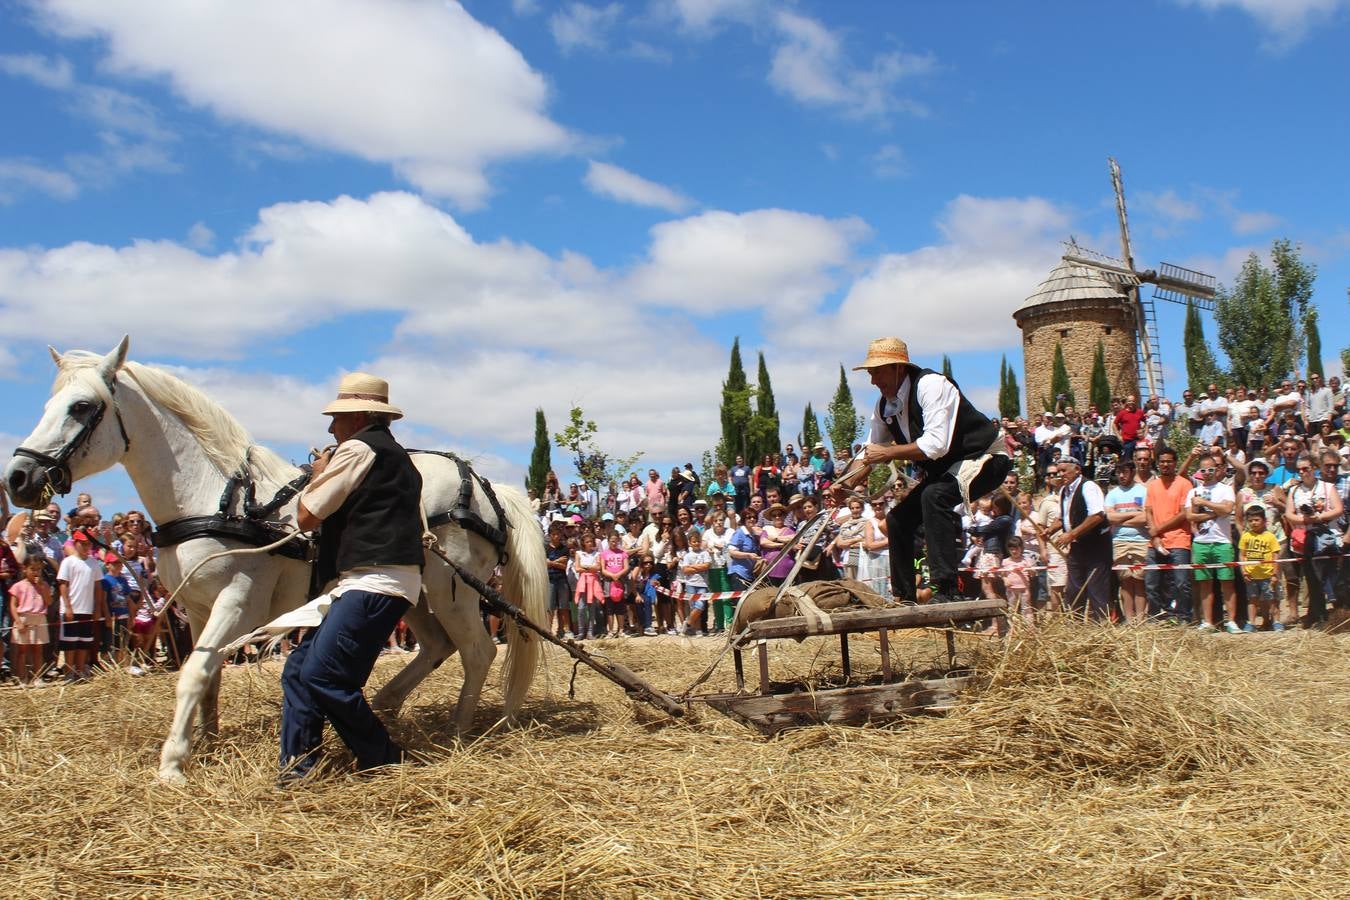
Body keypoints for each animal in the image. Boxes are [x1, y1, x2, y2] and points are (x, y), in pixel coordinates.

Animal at [6, 337, 542, 782]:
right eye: (47, 404)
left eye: (82, 406)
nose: (18, 477)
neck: (216, 497)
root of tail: (487, 487)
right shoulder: (197, 607)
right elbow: (208, 672)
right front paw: (205, 741)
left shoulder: (238, 599)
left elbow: (193, 672)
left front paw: (173, 762)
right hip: (415, 595)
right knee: (436, 647)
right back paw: (389, 704)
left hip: (453, 592)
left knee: (478, 651)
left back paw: (459, 731)